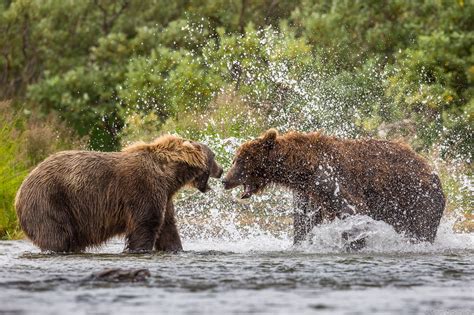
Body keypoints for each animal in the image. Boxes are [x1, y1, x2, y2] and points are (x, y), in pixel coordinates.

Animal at [14, 136, 222, 254]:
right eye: (214, 157)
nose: (220, 170)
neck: (169, 176)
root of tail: (19, 192)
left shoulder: (165, 196)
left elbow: (167, 228)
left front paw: (176, 248)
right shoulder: (143, 189)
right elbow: (145, 225)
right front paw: (140, 249)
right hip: (50, 201)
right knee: (57, 236)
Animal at [222, 130, 444, 246]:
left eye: (240, 160)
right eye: (235, 159)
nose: (225, 179)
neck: (304, 169)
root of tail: (433, 172)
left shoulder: (331, 181)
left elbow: (353, 211)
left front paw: (354, 243)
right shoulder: (308, 194)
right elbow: (304, 223)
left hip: (417, 198)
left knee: (421, 227)